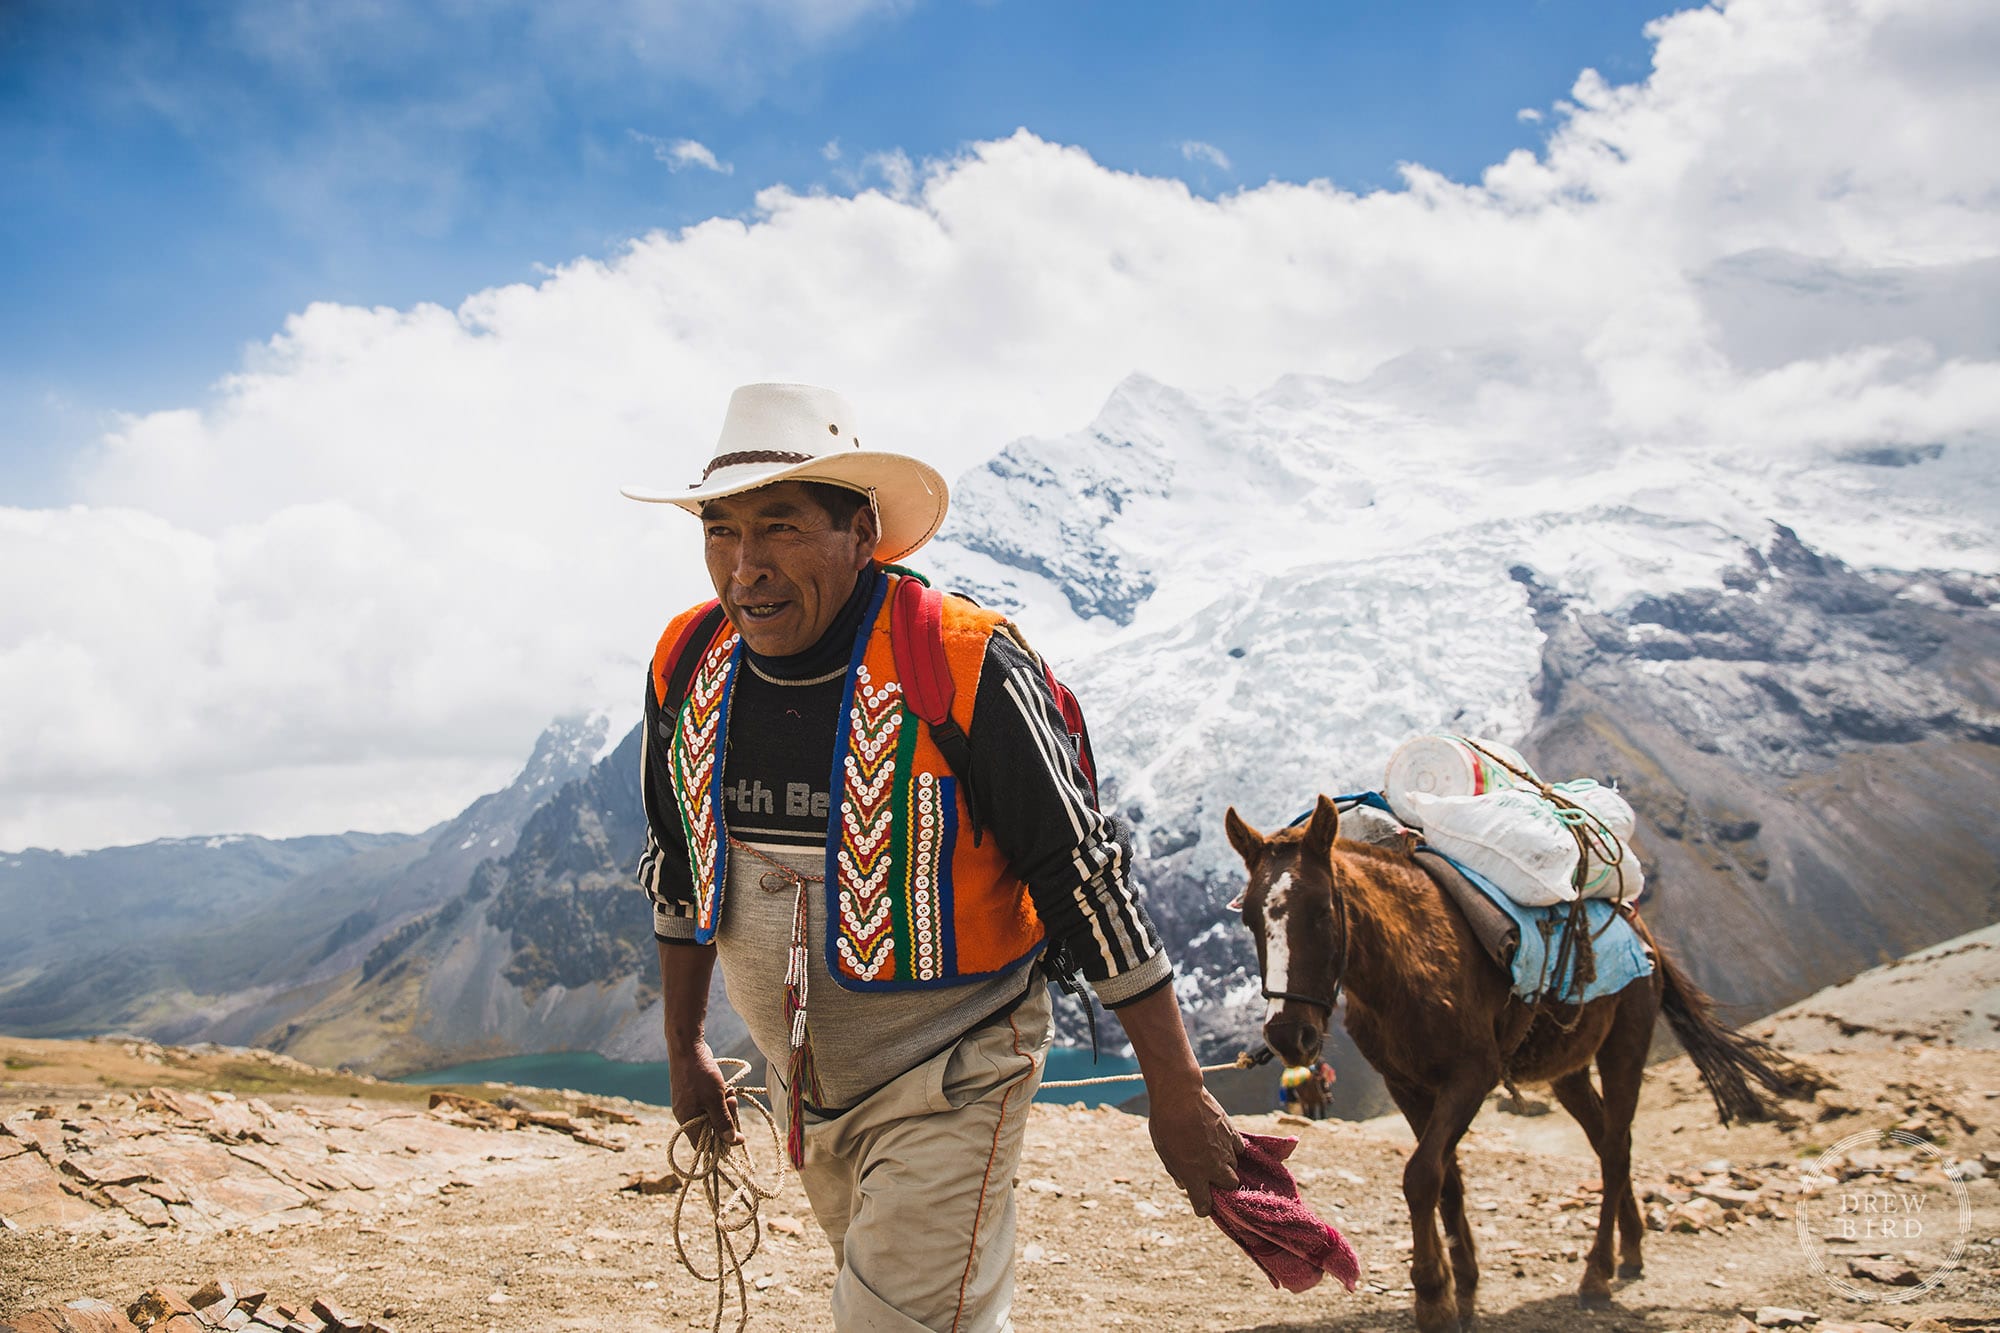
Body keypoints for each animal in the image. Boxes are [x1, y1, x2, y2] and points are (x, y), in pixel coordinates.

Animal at [1216, 792, 1816, 1320]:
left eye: (1321, 911)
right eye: (1249, 919)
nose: (1288, 1036)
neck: (1407, 963)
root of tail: (1639, 926)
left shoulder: (1471, 1078)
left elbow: (1421, 1175)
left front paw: (1433, 1296)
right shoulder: (1406, 1086)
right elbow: (1447, 1180)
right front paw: (1464, 1286)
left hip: (1625, 1046)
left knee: (1615, 1148)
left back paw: (1598, 1273)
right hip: (1569, 1072)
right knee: (1608, 1142)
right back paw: (1631, 1249)